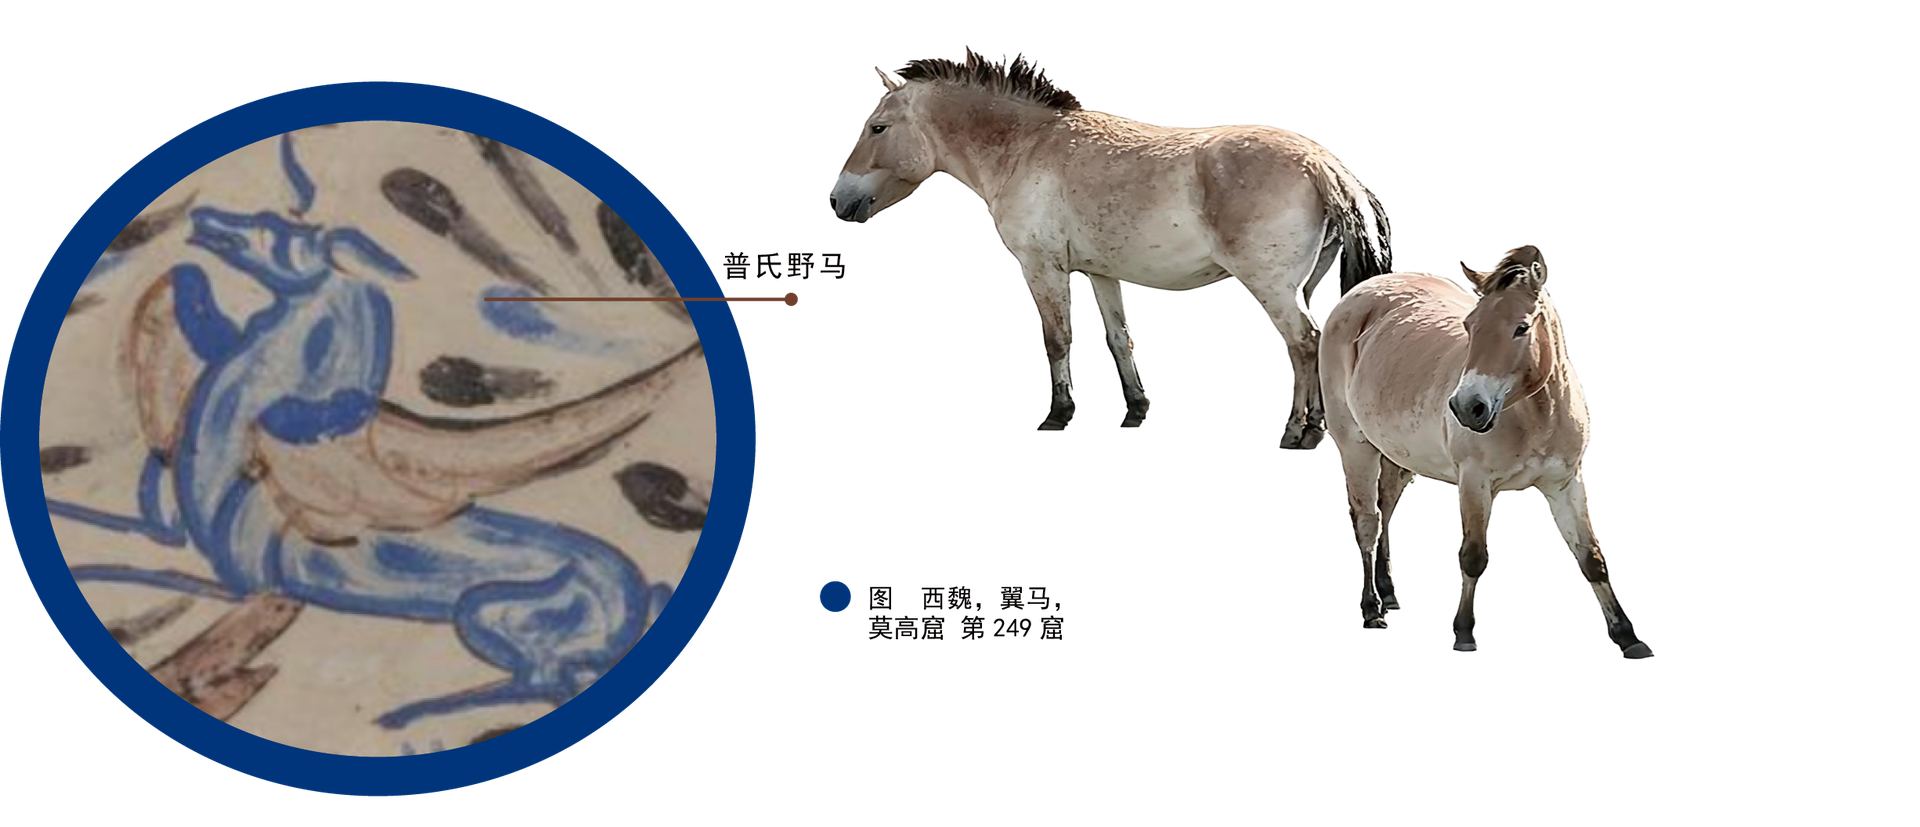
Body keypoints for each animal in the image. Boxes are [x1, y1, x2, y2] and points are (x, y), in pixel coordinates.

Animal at [826, 46, 1395, 449]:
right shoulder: (1100, 272)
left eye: (877, 127)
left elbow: (1059, 340)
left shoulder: (1044, 268)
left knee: (1305, 344)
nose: (837, 200)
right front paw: (1136, 412)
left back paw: (1301, 434)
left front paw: (1057, 417)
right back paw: (1308, 428)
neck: (1027, 147)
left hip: (1270, 287)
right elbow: (1119, 339)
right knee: (1308, 347)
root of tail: (1324, 164)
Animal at [1318, 243, 1656, 659]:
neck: (1535, 416)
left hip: (1398, 457)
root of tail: (1360, 295)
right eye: (1470, 325)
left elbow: (1591, 558)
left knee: (1384, 511)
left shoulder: (1565, 484)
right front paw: (1464, 634)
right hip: (1355, 445)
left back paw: (1388, 595)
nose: (1467, 407)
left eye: (1521, 328)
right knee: (1367, 522)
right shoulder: (1475, 483)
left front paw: (1629, 638)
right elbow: (1474, 555)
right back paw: (1371, 609)